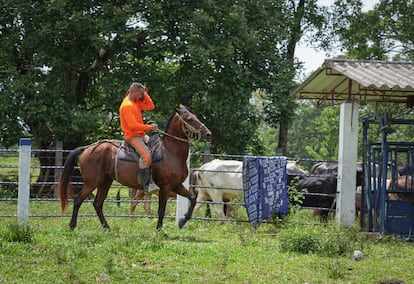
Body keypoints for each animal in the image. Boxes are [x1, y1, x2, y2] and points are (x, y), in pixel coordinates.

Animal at [58, 105, 212, 231]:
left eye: (196, 116)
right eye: (189, 119)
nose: (208, 134)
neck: (170, 153)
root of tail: (87, 148)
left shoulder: (176, 185)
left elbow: (193, 199)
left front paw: (182, 221)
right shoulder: (165, 187)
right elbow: (161, 210)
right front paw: (159, 231)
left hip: (105, 182)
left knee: (97, 203)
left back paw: (107, 227)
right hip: (92, 182)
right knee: (78, 200)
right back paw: (72, 226)